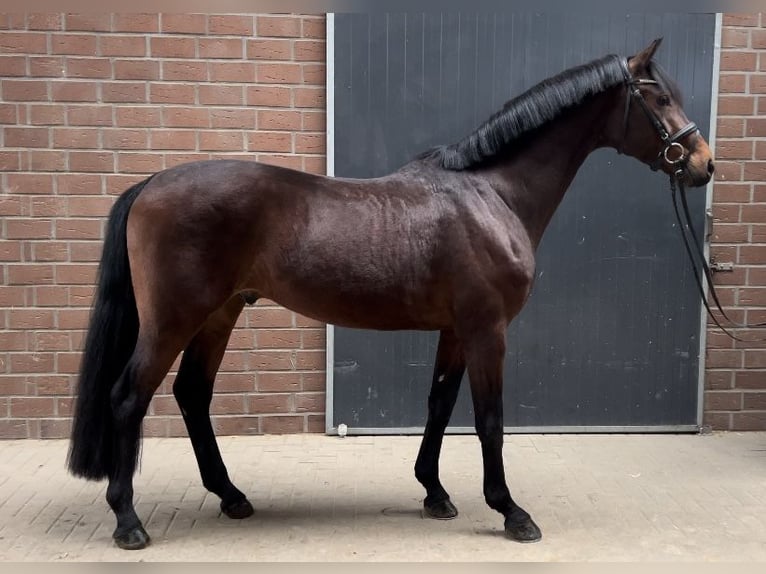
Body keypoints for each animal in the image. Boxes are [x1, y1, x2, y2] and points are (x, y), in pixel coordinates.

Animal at [66, 38, 712, 552]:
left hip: (218, 315)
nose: (703, 162)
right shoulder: (487, 329)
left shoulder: (456, 330)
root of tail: (151, 183)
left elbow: (439, 405)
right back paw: (128, 521)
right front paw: (510, 511)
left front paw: (435, 493)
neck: (491, 194)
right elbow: (490, 418)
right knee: (128, 397)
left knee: (192, 395)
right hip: (173, 319)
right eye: (658, 98)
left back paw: (230, 496)